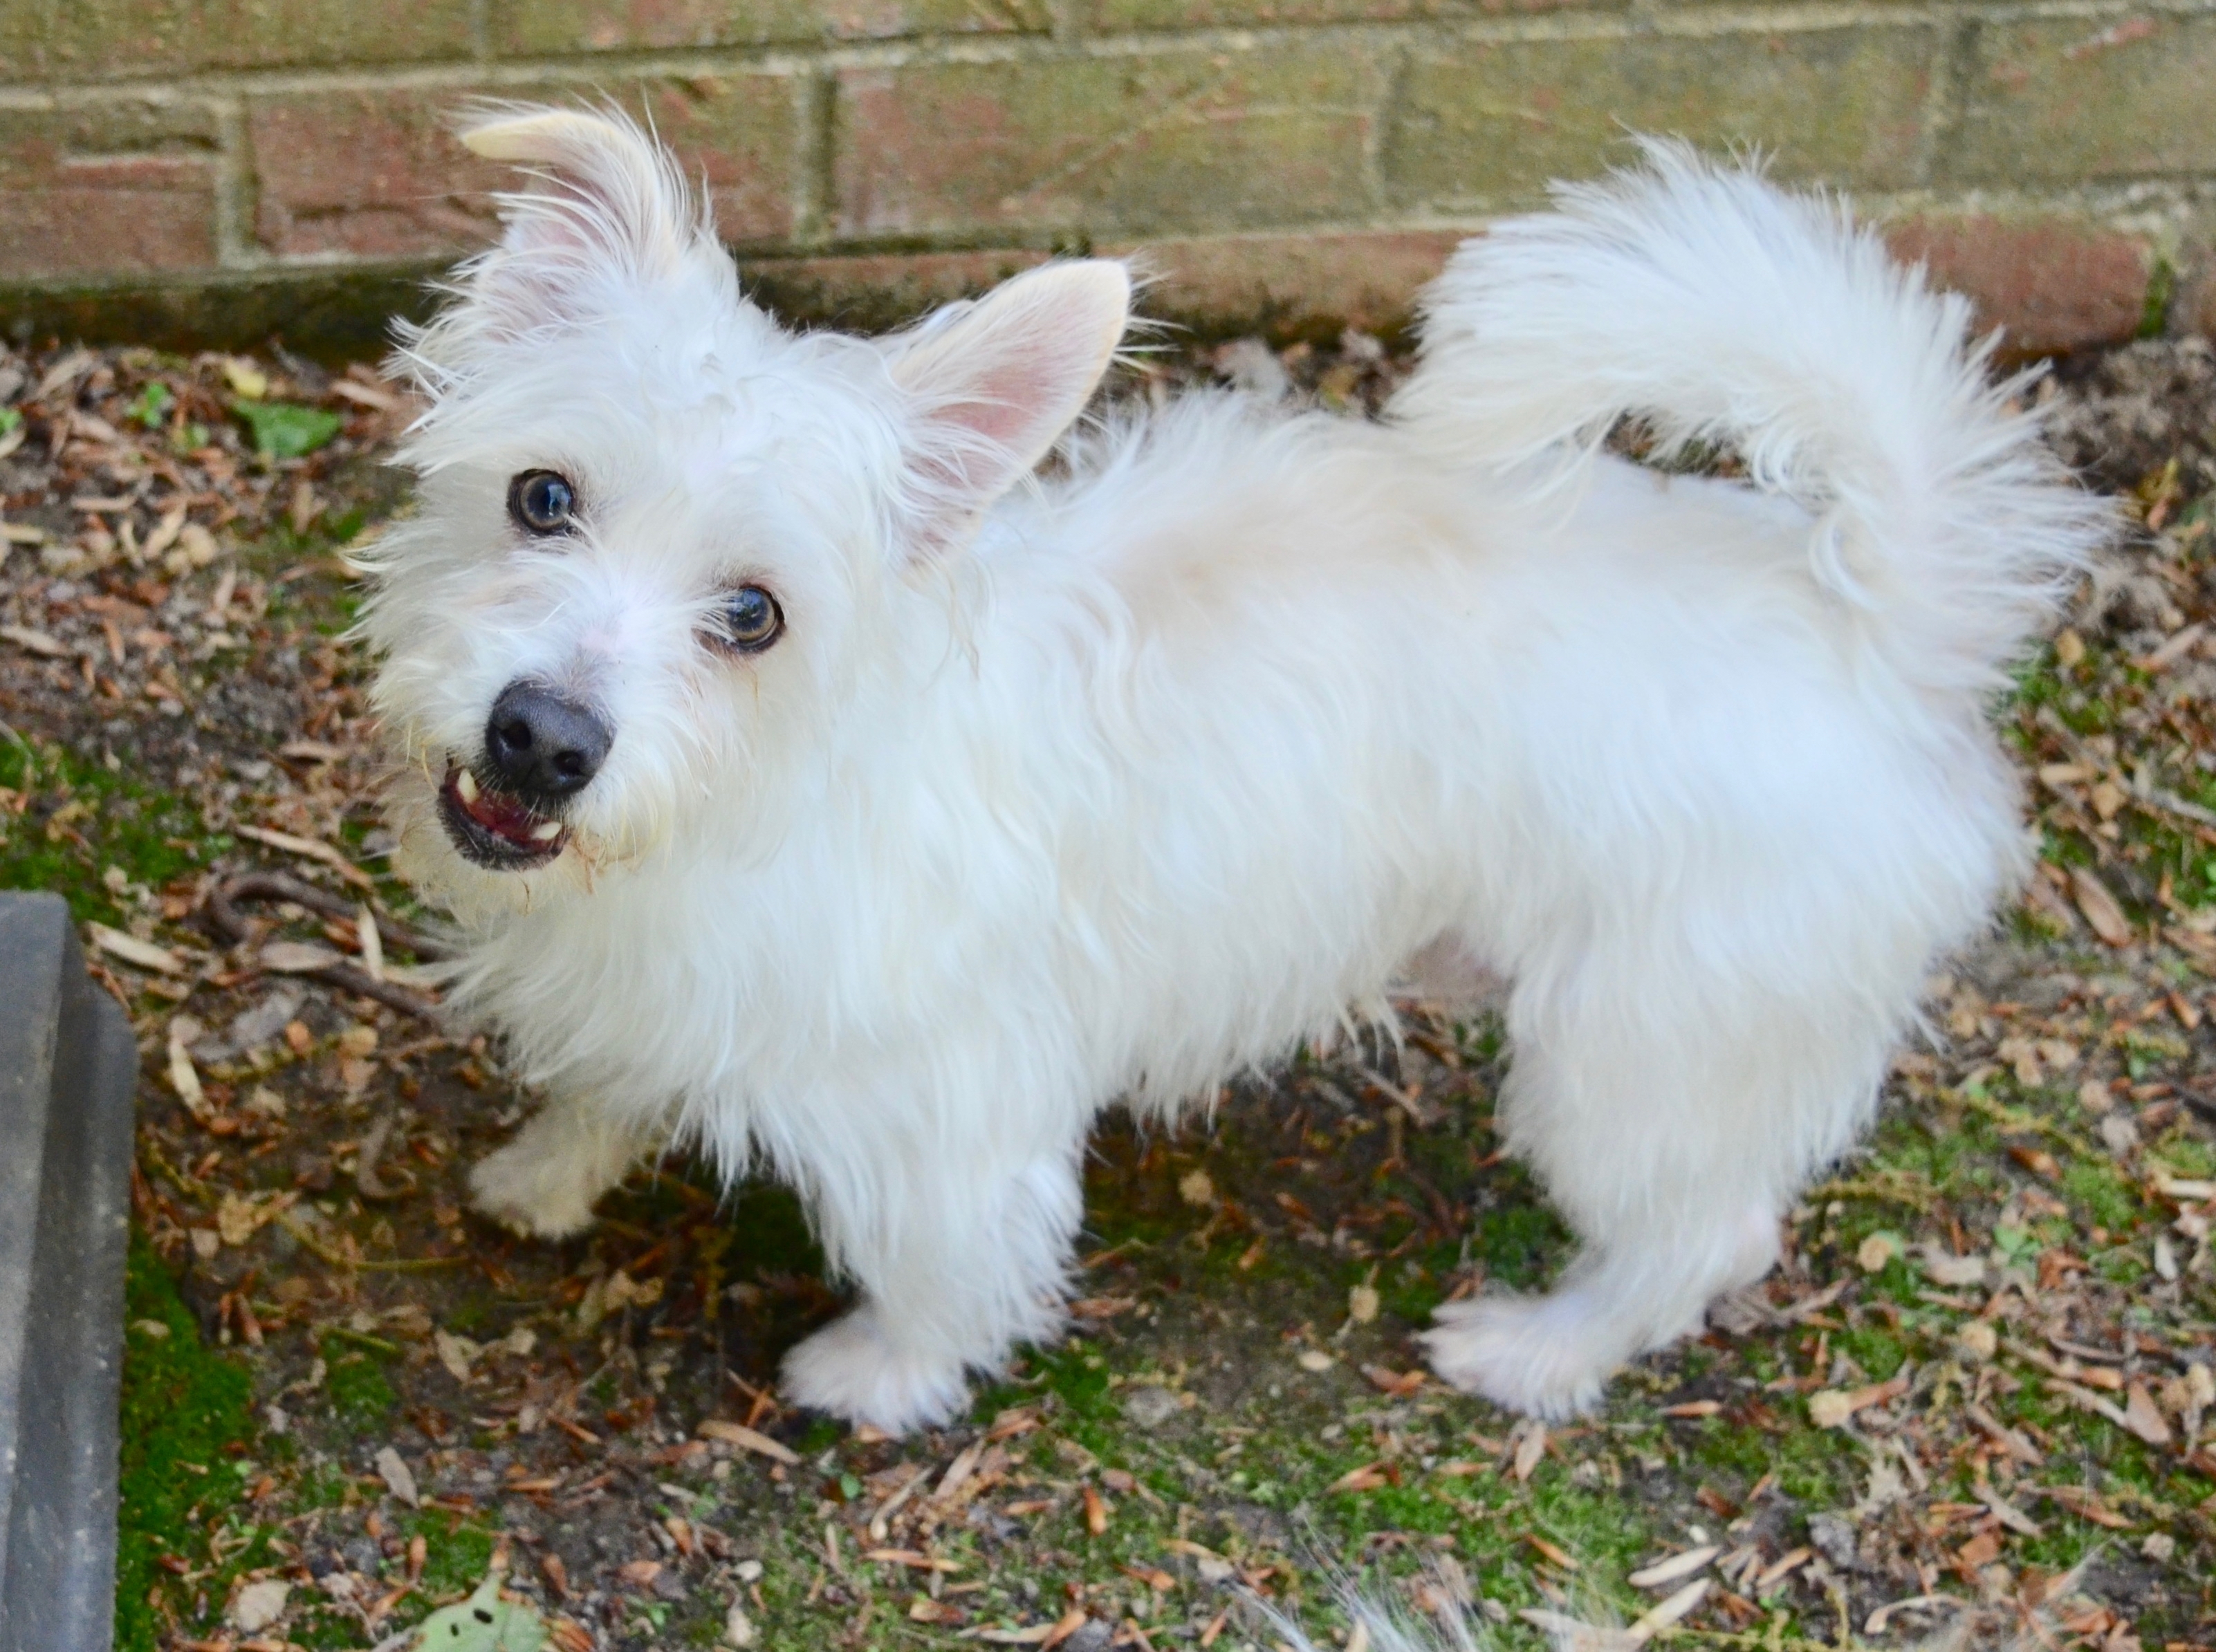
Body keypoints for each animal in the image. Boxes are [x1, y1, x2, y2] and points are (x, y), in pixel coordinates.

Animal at [363, 106, 2109, 1426]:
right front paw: (548, 1168)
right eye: (540, 497)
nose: (543, 737)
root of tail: (1879, 620)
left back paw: (1538, 1351)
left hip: (1640, 1057)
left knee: (1707, 1231)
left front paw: (881, 1376)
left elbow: (947, 1270)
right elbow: (608, 1078)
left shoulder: (948, 1122)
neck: (753, 802)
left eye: (753, 614)